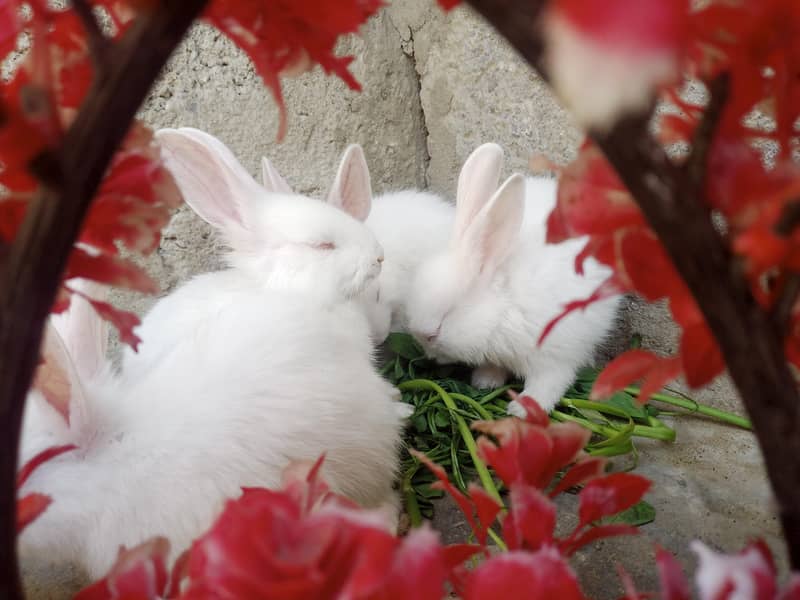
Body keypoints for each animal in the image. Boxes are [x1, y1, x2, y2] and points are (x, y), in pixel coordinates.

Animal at [404, 143, 622, 414]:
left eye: (438, 329)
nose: (430, 355)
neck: (502, 310)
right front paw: (485, 381)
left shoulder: (554, 354)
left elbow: (549, 384)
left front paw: (522, 409)